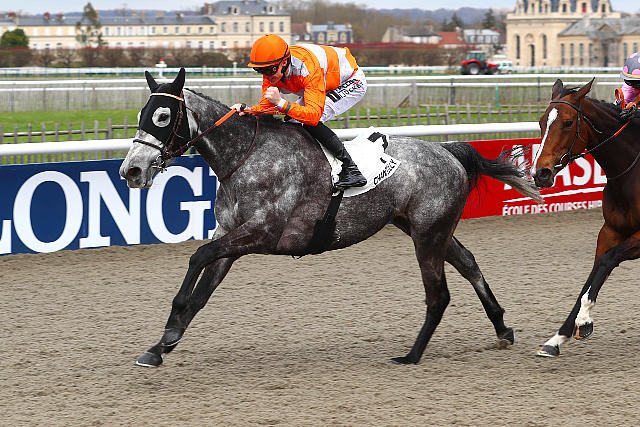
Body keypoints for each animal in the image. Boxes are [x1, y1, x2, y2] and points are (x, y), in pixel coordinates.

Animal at [120, 68, 541, 367]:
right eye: (141, 114)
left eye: (162, 116)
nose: (131, 171)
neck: (246, 157)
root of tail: (448, 151)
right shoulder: (232, 236)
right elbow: (201, 293)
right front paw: (160, 345)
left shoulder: (262, 233)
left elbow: (198, 256)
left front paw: (169, 330)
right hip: (425, 228)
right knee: (468, 263)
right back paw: (502, 328)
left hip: (427, 234)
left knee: (438, 294)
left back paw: (411, 355)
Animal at [533, 78, 640, 357]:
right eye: (541, 121)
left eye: (568, 123)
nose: (540, 173)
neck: (631, 174)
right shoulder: (610, 231)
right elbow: (594, 273)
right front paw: (557, 338)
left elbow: (608, 261)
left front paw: (585, 320)